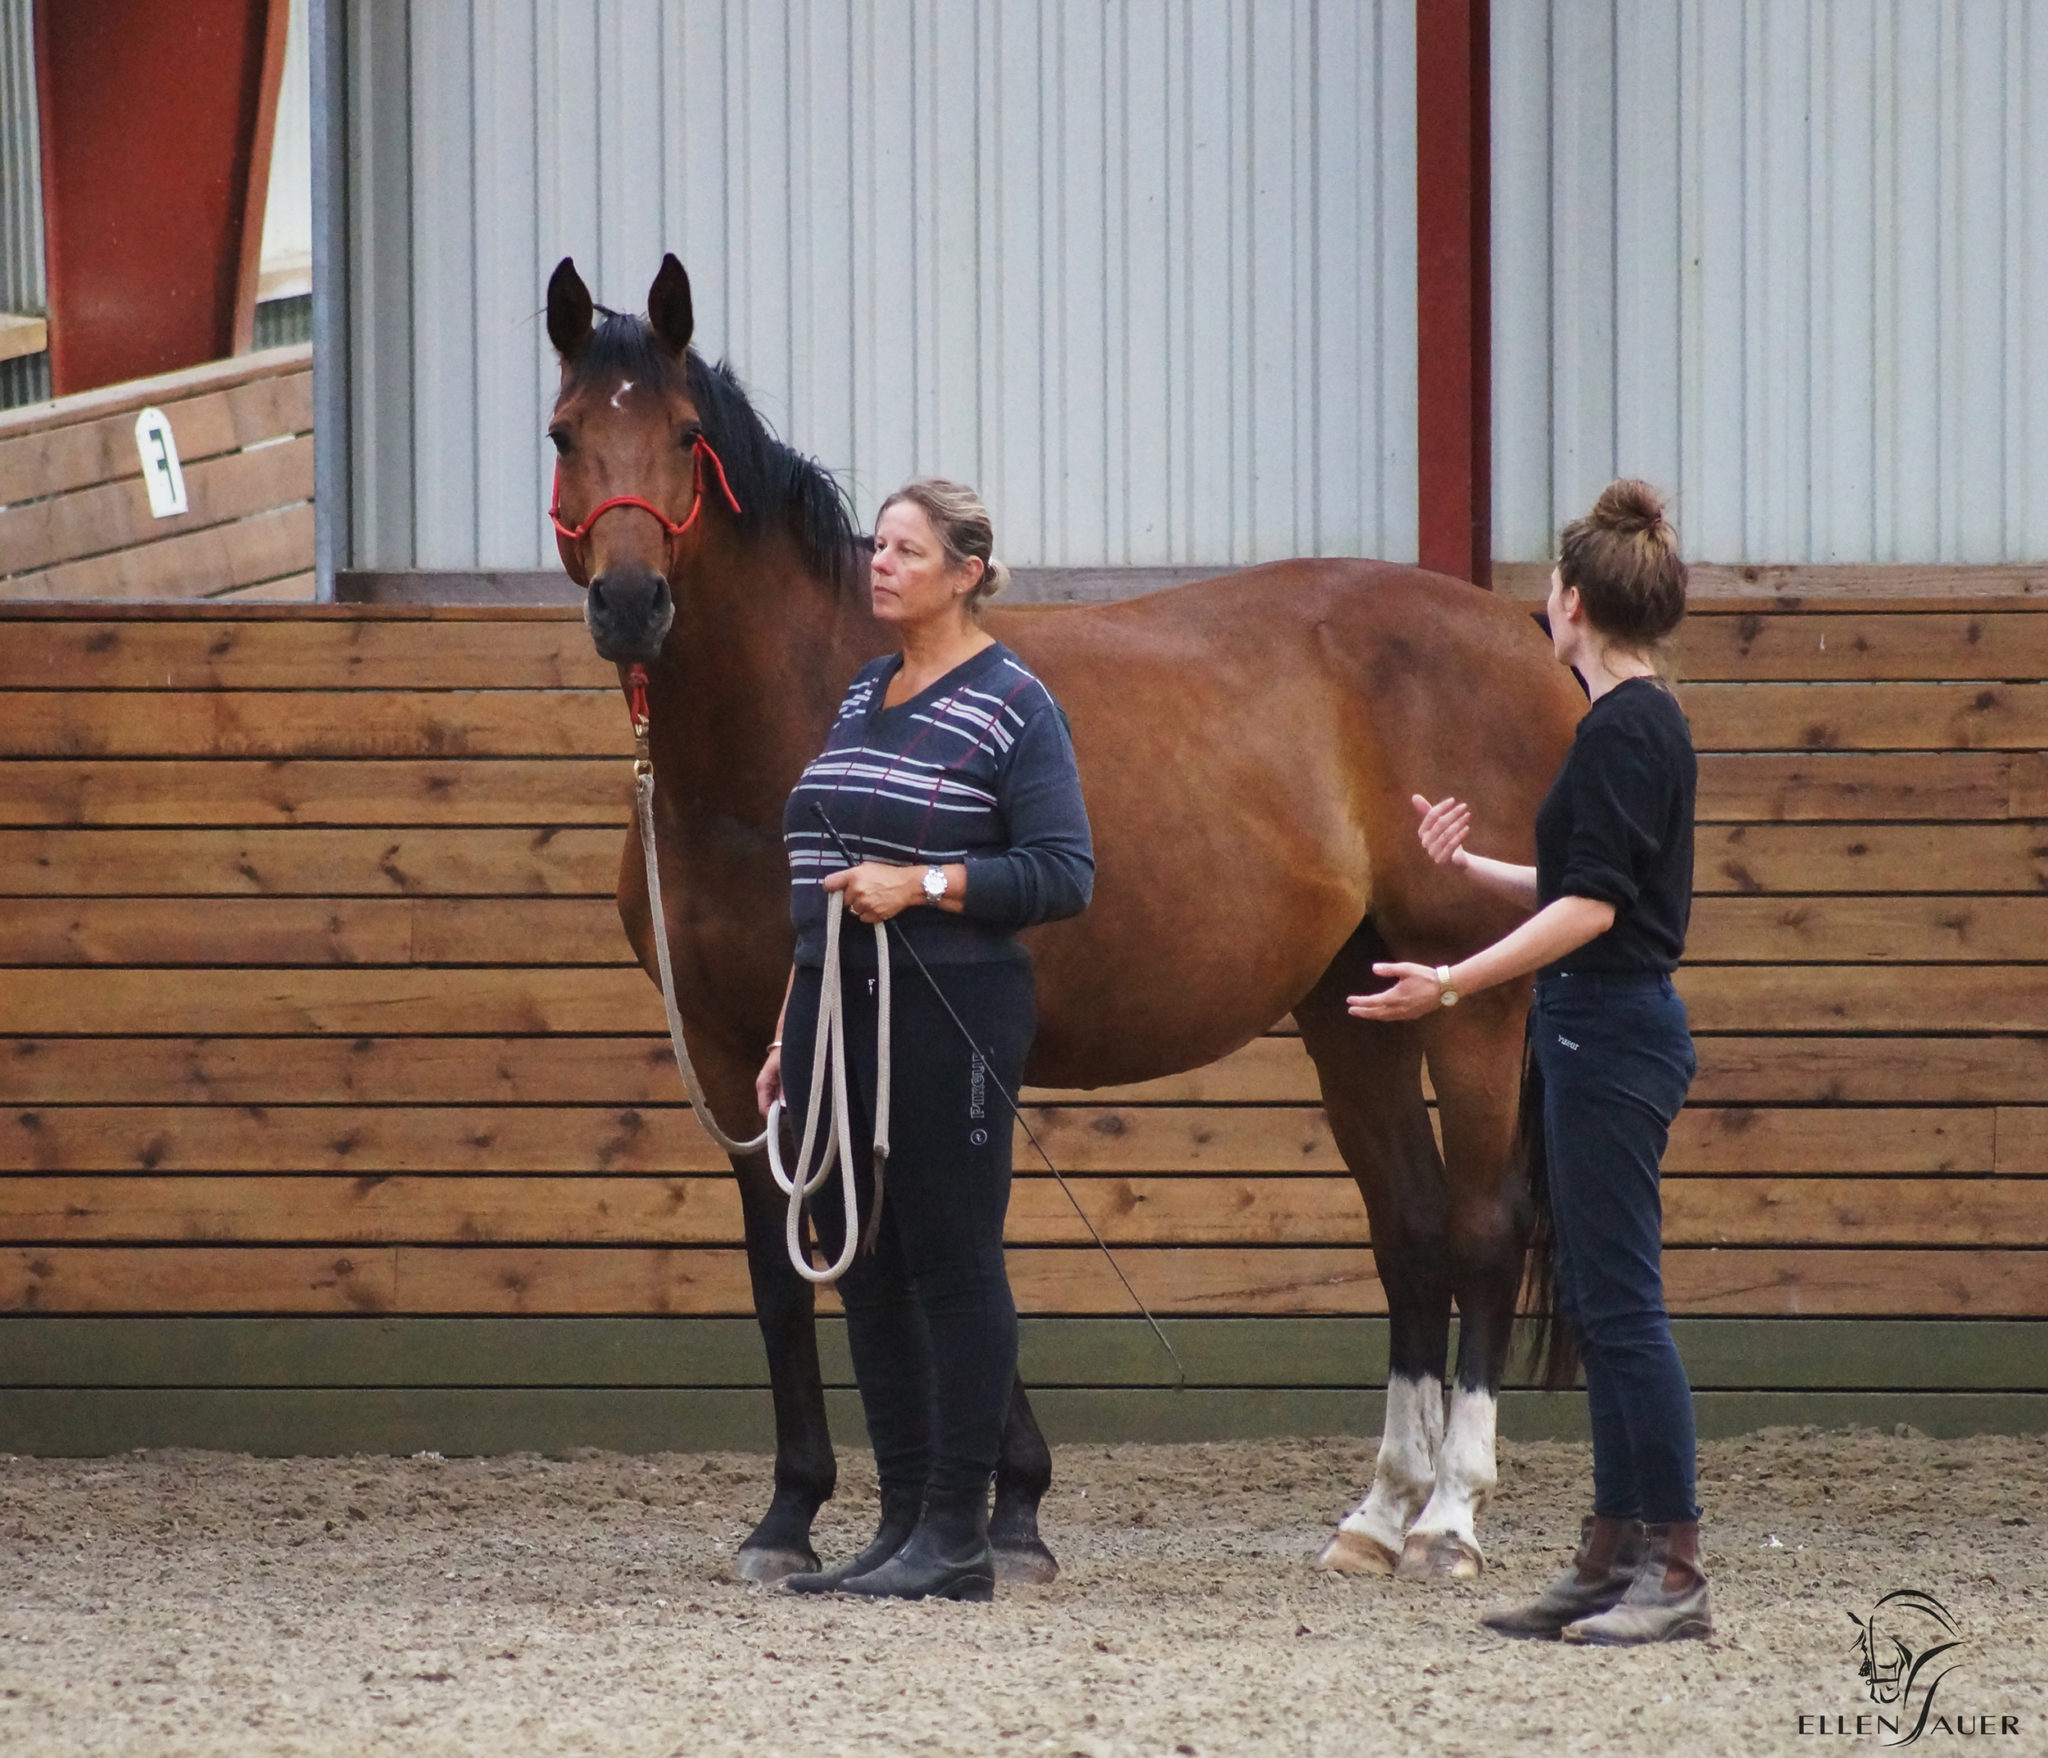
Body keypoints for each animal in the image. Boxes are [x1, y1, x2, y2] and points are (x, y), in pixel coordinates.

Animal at [540, 253, 1581, 1581]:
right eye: (566, 433)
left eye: (682, 435)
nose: (631, 606)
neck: (767, 746)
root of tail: (1516, 632)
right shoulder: (743, 1057)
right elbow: (786, 1265)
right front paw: (791, 1517)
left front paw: (1003, 1511)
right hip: (1357, 1002)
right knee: (1406, 1228)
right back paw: (1376, 1515)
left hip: (1470, 995)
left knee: (1482, 1227)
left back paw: (1447, 1516)